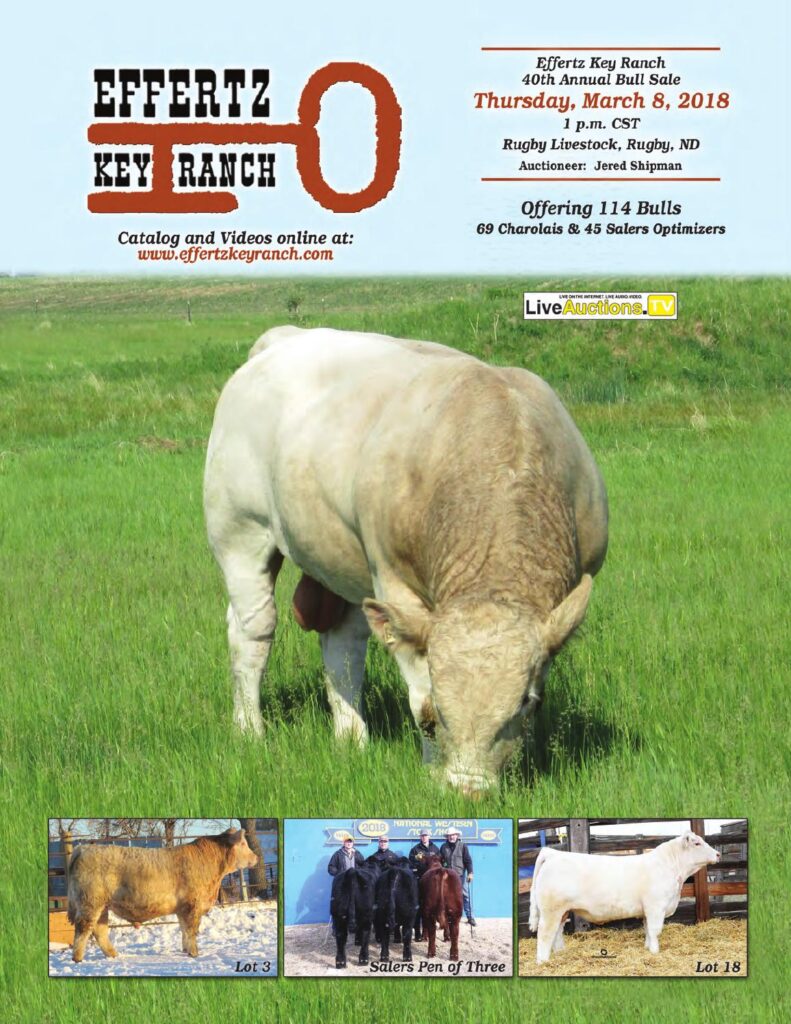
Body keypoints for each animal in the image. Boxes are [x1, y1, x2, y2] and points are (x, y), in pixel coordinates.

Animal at [67, 828, 258, 962]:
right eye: (243, 844)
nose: (256, 857)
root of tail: (83, 848)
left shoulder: (183, 908)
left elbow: (184, 929)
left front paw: (185, 950)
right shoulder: (193, 905)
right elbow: (191, 930)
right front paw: (194, 953)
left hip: (102, 905)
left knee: (99, 930)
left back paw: (113, 955)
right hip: (90, 902)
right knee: (83, 928)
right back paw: (78, 958)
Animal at [204, 326, 608, 792]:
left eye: (528, 702)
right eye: (443, 711)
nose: (469, 790)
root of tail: (283, 338)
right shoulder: (393, 580)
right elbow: (421, 701)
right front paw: (433, 770)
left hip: (340, 561)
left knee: (343, 644)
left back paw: (352, 738)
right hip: (240, 531)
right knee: (252, 631)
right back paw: (250, 730)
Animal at [528, 831, 721, 963]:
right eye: (697, 843)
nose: (718, 854)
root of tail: (553, 854)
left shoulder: (647, 910)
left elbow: (647, 929)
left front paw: (647, 947)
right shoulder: (656, 907)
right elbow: (655, 930)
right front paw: (655, 952)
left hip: (563, 910)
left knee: (557, 930)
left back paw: (560, 952)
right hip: (552, 909)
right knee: (545, 932)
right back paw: (543, 961)